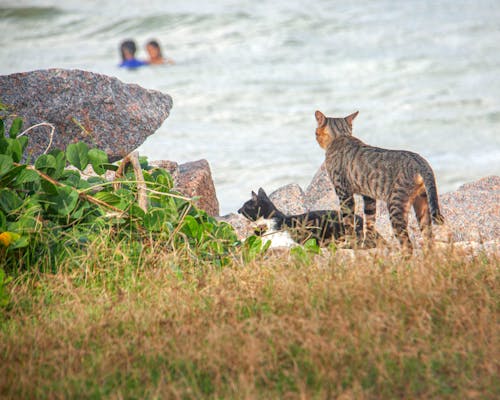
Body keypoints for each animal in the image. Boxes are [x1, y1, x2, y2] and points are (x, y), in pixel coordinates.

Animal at [314, 109, 444, 250]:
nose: (316, 136)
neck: (340, 136)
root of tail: (419, 161)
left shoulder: (344, 193)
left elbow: (348, 222)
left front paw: (349, 243)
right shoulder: (368, 196)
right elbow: (370, 221)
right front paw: (368, 243)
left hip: (395, 206)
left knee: (407, 244)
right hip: (422, 205)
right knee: (429, 240)